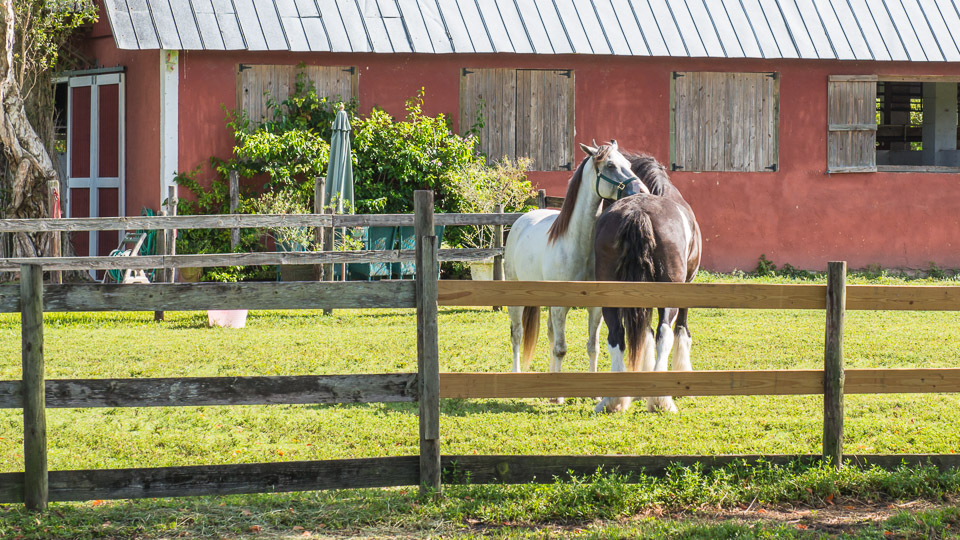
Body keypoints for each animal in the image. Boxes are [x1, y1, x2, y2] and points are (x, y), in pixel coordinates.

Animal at [498, 140, 648, 400]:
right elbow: (561, 348)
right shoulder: (561, 306)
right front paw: (558, 396)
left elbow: (592, 346)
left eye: (629, 165)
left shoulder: (595, 307)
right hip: (517, 300)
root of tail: (521, 221)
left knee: (549, 334)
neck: (577, 244)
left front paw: (593, 394)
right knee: (517, 334)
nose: (642, 191)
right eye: (610, 165)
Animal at [592, 152, 696, 414]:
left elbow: (643, 335)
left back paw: (613, 400)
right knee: (665, 334)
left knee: (616, 335)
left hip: (611, 296)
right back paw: (661, 400)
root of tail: (637, 212)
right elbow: (681, 331)